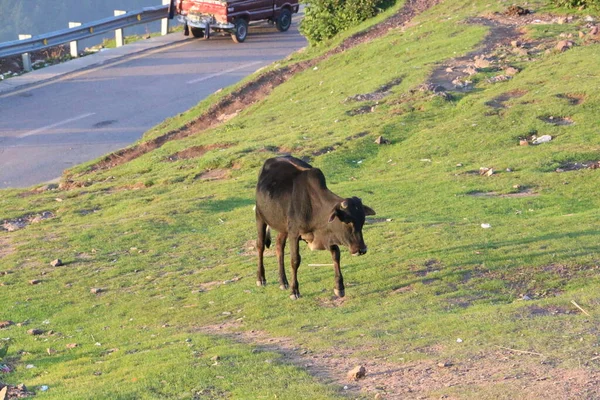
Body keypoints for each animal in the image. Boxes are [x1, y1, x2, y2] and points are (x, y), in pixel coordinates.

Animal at [253, 155, 376, 298]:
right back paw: (261, 278)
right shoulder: (294, 234)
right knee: (260, 245)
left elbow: (336, 255)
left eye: (362, 221)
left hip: (282, 227)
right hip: (260, 217)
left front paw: (339, 287)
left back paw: (283, 281)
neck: (313, 207)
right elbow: (295, 260)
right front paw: (295, 291)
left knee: (279, 246)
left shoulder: (327, 236)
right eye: (347, 221)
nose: (362, 249)